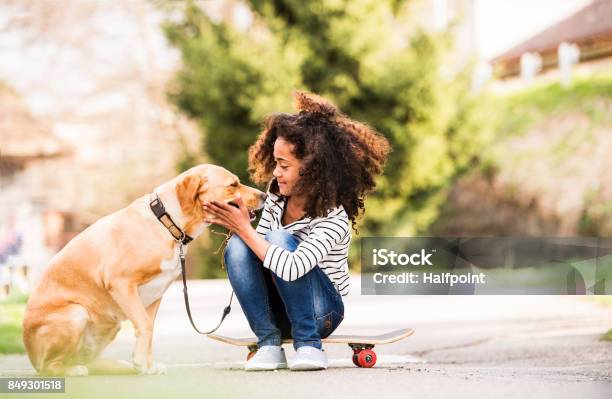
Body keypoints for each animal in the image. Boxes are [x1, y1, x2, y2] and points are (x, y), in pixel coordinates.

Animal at [22, 164, 266, 376]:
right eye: (233, 185)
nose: (264, 195)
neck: (167, 223)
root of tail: (30, 356)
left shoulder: (155, 296)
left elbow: (149, 329)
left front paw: (146, 367)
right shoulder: (121, 283)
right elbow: (145, 326)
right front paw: (141, 363)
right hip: (77, 313)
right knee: (49, 366)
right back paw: (71, 370)